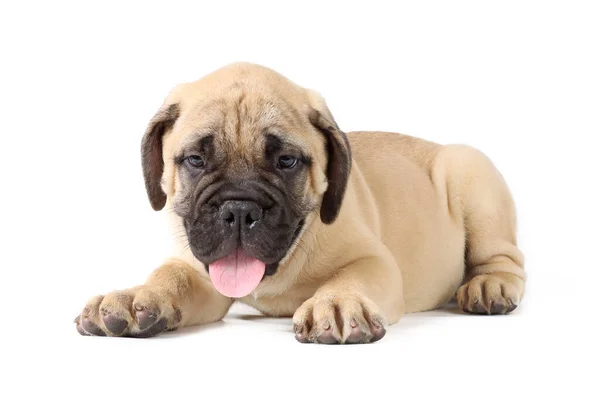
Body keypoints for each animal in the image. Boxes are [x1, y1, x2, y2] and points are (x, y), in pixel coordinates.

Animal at [75, 62, 524, 344]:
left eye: (286, 161)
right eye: (196, 161)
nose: (239, 209)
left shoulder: (372, 260)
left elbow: (351, 278)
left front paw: (337, 303)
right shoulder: (199, 273)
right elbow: (170, 277)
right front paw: (136, 296)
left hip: (471, 175)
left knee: (504, 259)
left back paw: (489, 285)